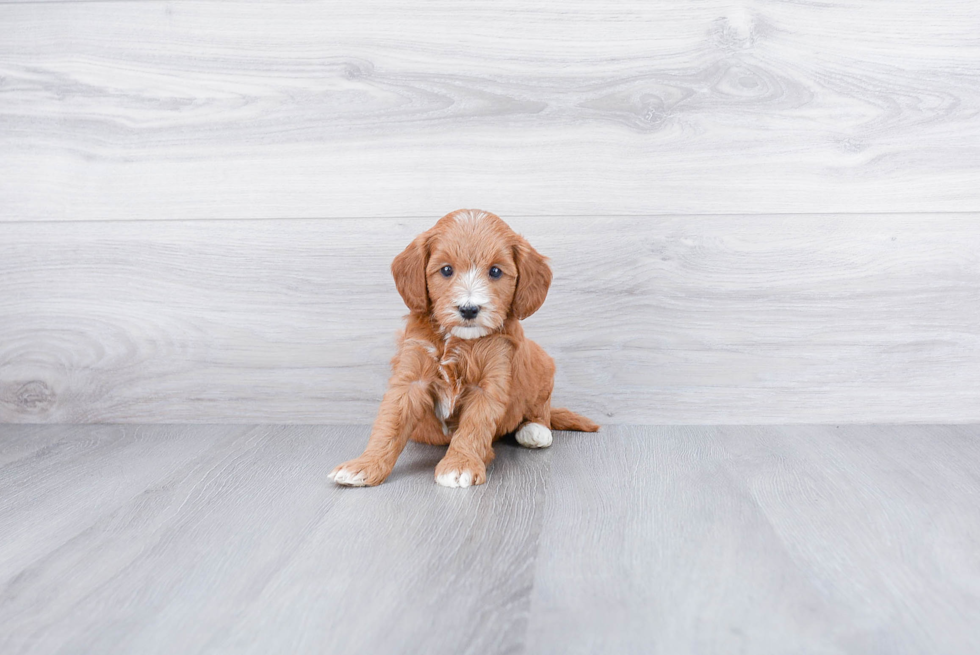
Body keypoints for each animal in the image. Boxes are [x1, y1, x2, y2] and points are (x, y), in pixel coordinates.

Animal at [332, 209, 596, 486]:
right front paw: (365, 465)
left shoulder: (490, 381)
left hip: (542, 364)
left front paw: (460, 465)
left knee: (541, 406)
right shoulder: (410, 375)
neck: (457, 340)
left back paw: (535, 430)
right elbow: (390, 423)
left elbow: (474, 426)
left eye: (495, 271)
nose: (469, 309)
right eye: (446, 270)